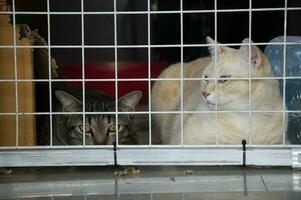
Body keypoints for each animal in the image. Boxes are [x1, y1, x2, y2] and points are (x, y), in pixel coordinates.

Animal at [151, 36, 288, 145]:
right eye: (206, 78)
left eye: (224, 79)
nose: (204, 93)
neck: (247, 119)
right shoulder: (184, 141)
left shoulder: (280, 142)